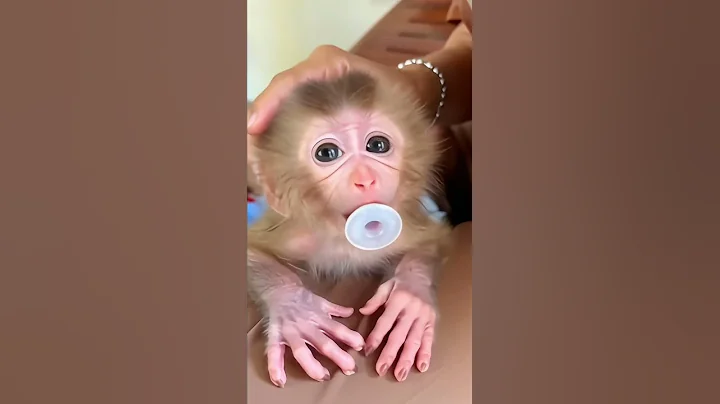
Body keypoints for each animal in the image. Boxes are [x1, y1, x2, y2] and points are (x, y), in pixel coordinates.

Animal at [247, 71, 453, 387]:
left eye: (377, 145)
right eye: (327, 153)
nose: (365, 179)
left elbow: (431, 241)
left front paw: (410, 295)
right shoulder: (296, 234)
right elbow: (254, 250)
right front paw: (296, 309)